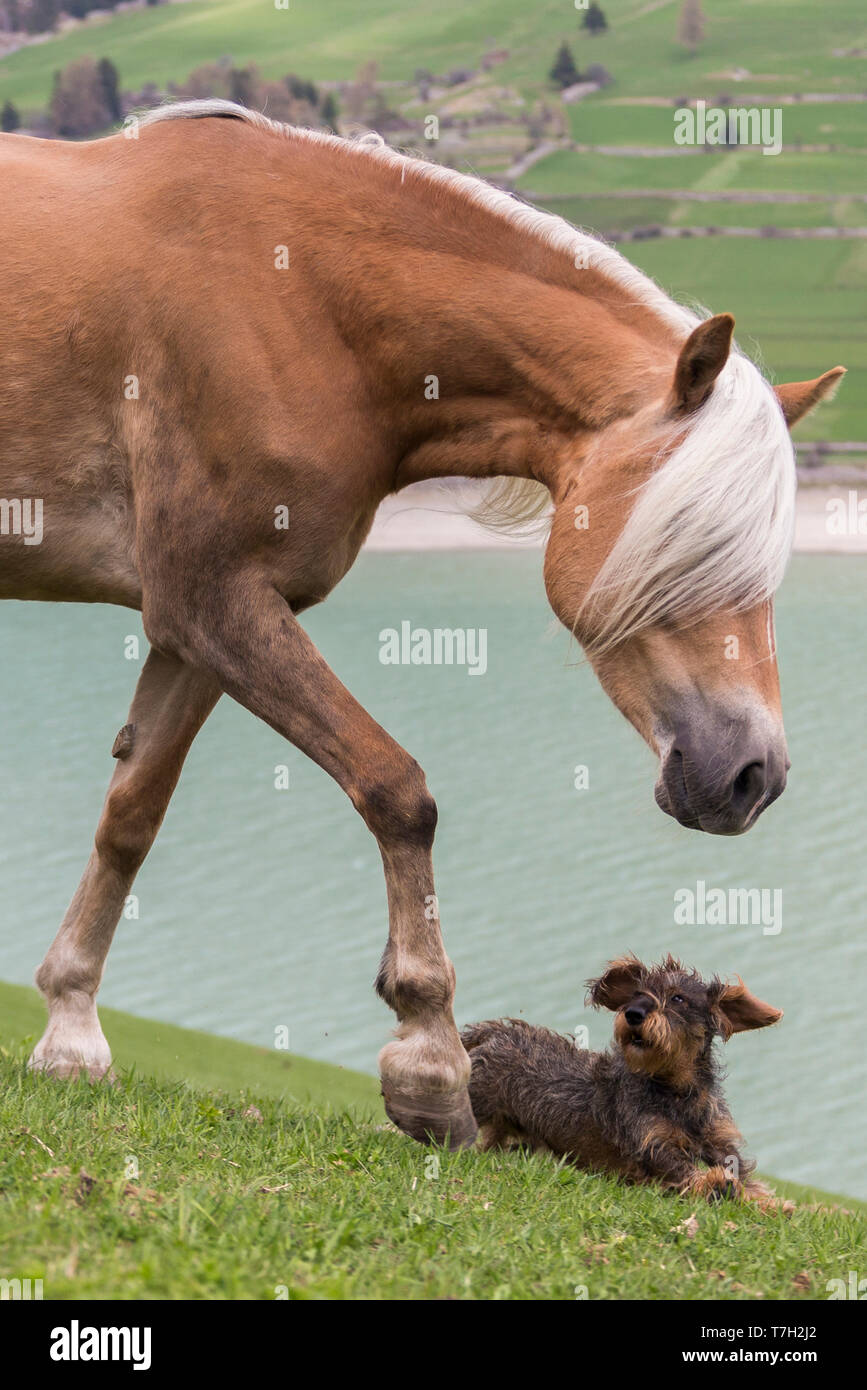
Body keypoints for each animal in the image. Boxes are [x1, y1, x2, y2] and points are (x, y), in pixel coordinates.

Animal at [0, 100, 839, 1150]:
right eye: (690, 542)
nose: (752, 775)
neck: (301, 297)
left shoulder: (194, 627)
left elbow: (130, 817)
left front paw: (71, 1030)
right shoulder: (214, 602)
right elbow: (396, 789)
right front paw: (430, 1063)